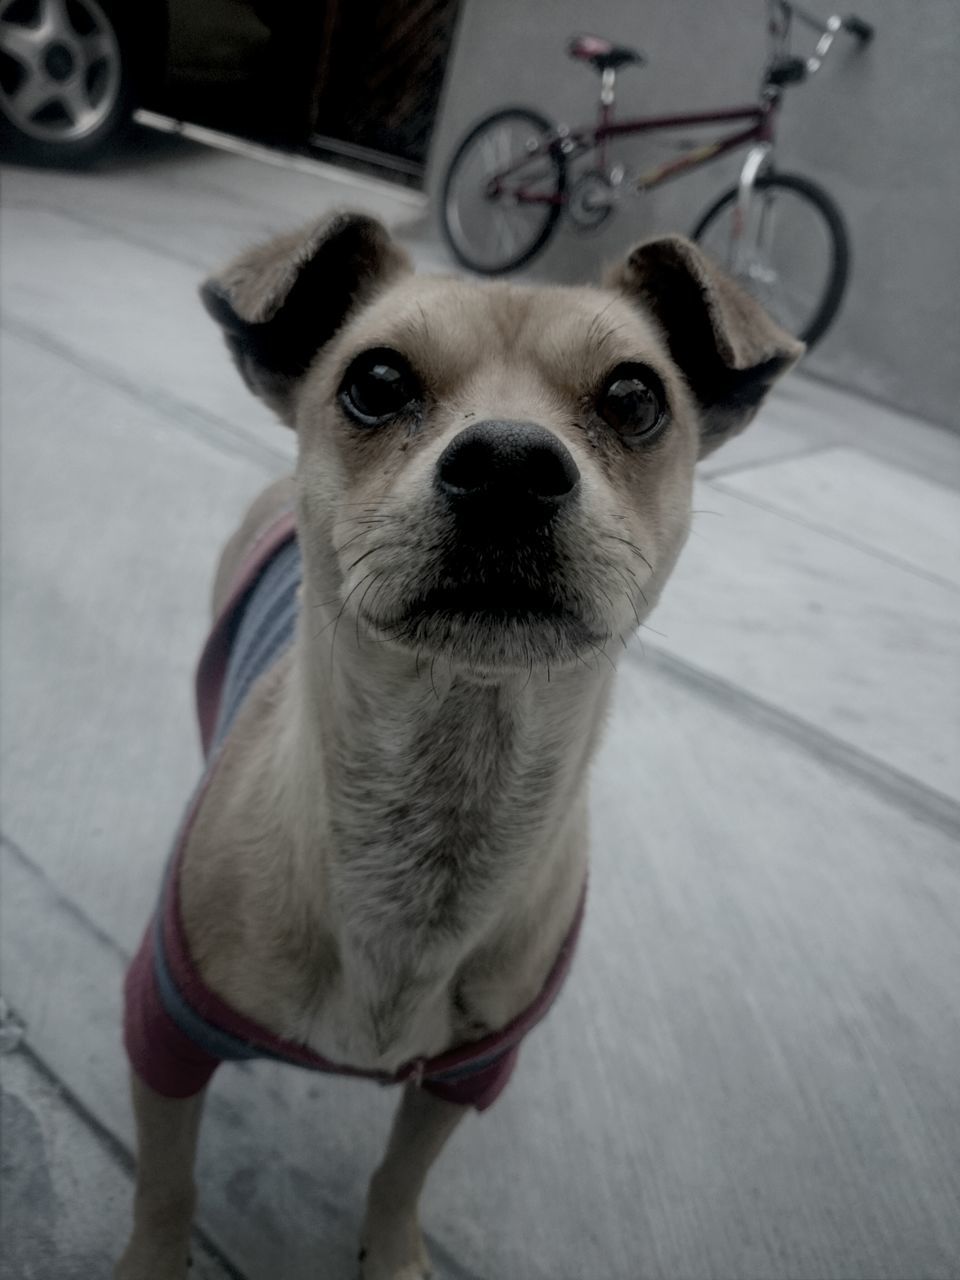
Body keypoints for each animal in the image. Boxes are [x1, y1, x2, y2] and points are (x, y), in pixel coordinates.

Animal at [114, 212, 803, 1280]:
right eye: (377, 381)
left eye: (635, 396)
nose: (511, 463)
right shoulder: (166, 1038)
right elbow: (166, 1183)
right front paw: (154, 1257)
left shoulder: (469, 1074)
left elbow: (402, 1175)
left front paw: (392, 1255)